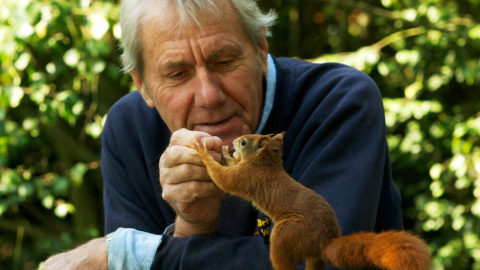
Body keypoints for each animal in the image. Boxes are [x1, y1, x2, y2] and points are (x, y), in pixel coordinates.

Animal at [191, 133, 432, 270]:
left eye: (243, 141)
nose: (233, 141)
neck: (265, 162)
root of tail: (325, 242)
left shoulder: (249, 176)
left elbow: (224, 179)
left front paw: (204, 153)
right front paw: (225, 152)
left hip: (288, 233)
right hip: (311, 255)